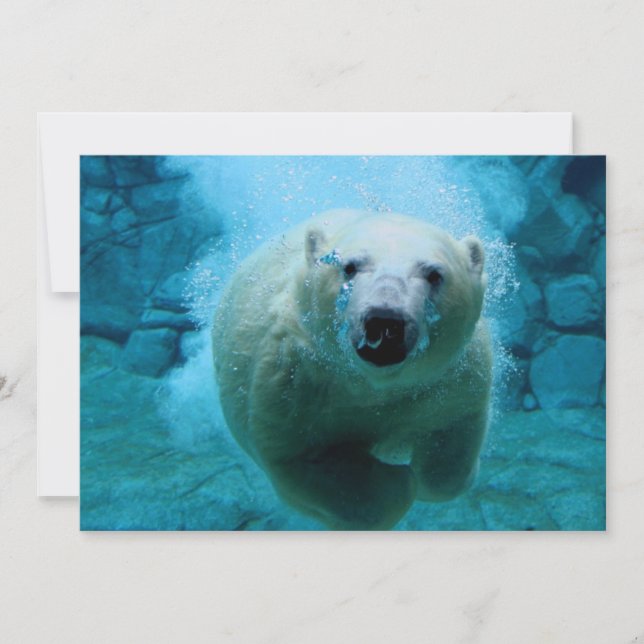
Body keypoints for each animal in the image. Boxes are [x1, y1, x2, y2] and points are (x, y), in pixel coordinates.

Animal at [212, 210, 492, 530]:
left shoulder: (451, 379)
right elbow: (309, 464)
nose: (385, 320)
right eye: (349, 267)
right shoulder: (291, 385)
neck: (370, 385)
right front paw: (398, 481)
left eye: (434, 274)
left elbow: (452, 438)